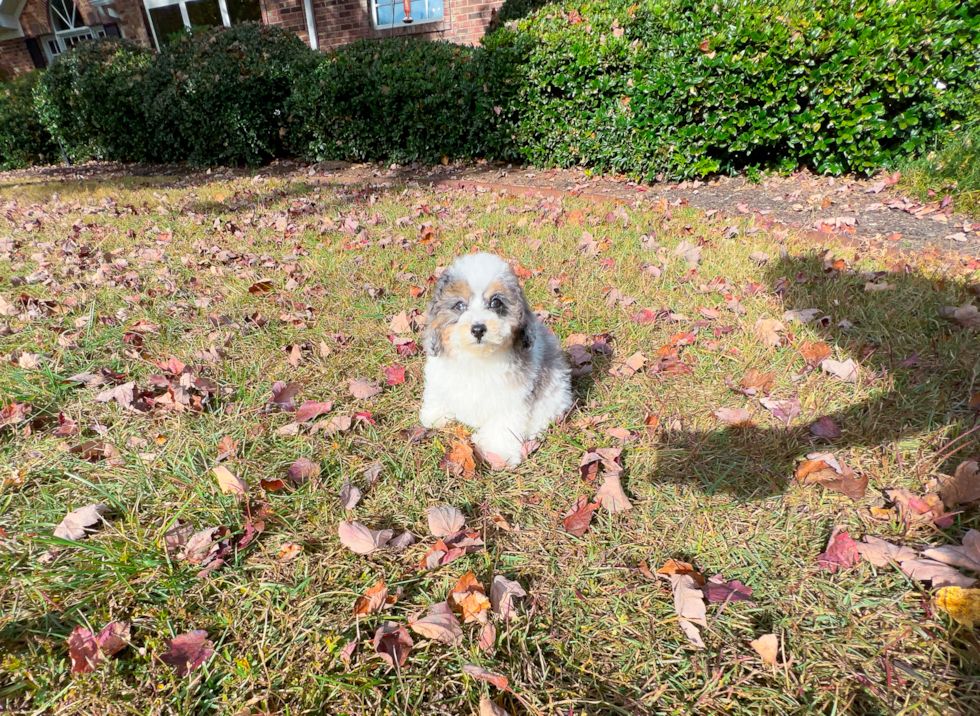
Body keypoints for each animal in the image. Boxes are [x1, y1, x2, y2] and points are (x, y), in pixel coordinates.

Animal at [418, 252, 572, 464]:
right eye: (460, 305)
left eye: (496, 302)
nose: (478, 329)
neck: (477, 358)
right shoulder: (439, 374)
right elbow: (438, 392)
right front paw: (435, 414)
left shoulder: (512, 395)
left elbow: (504, 422)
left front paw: (498, 451)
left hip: (555, 391)